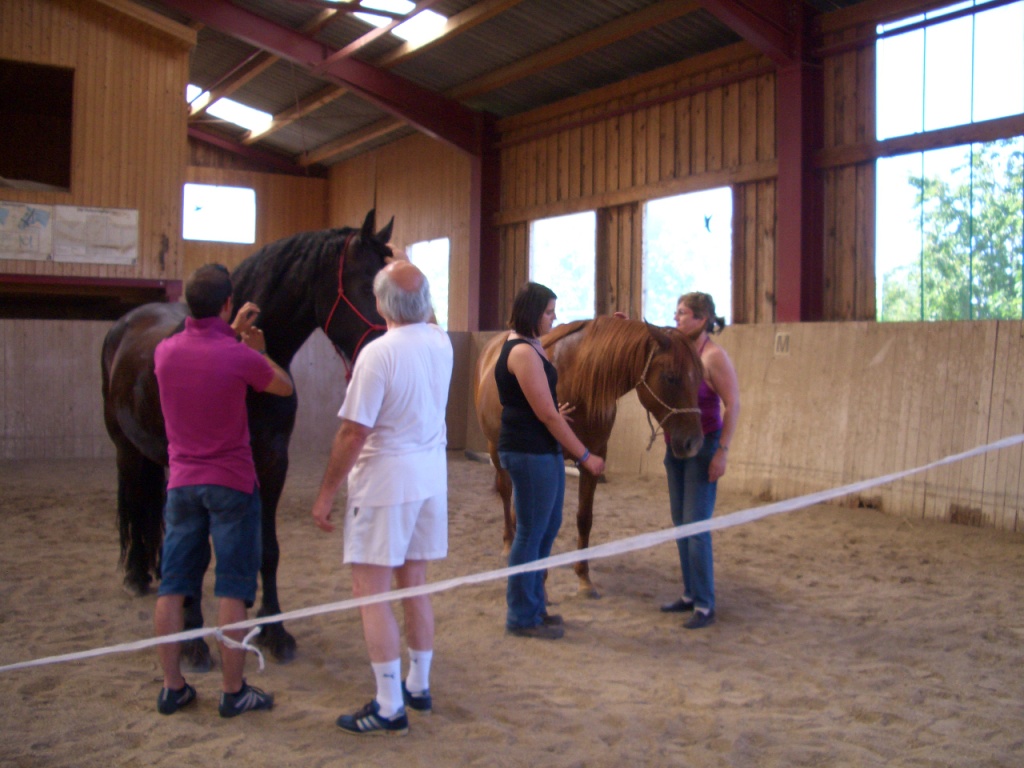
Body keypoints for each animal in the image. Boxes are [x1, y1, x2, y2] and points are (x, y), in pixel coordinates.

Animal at [101, 209, 393, 666]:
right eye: (367, 286)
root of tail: (126, 323)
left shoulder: (272, 462)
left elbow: (266, 548)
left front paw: (274, 629)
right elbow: (201, 550)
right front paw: (193, 640)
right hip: (128, 452)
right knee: (134, 503)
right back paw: (136, 575)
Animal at [474, 316, 706, 598]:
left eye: (699, 378)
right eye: (670, 377)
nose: (693, 443)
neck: (575, 379)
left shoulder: (593, 457)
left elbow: (584, 518)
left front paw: (583, 577)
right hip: (495, 449)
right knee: (507, 492)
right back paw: (509, 543)